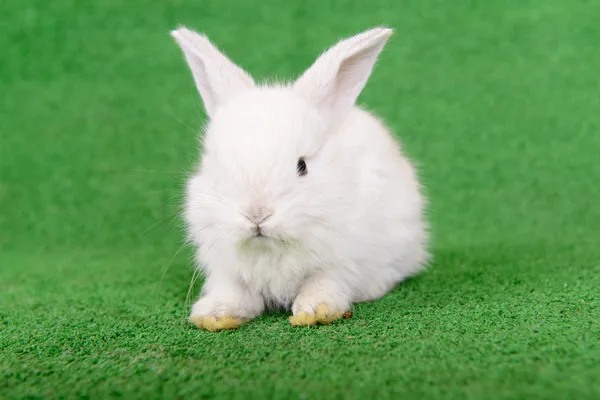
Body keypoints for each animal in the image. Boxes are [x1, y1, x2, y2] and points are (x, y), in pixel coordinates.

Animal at [171, 25, 428, 332]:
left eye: (302, 166)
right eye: (218, 166)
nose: (256, 216)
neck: (270, 248)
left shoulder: (341, 262)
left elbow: (324, 282)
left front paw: (315, 311)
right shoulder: (227, 268)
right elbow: (234, 291)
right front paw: (215, 315)